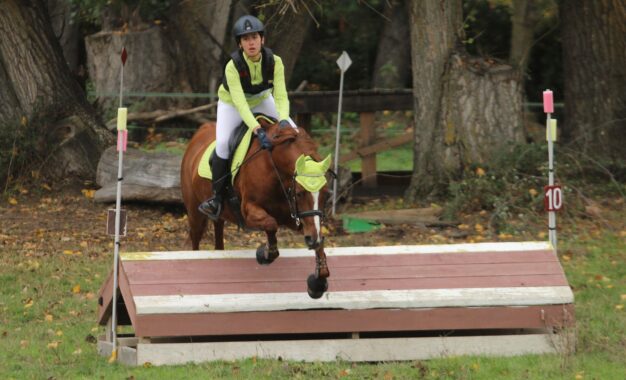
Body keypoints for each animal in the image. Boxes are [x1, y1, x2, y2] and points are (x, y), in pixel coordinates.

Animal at [179, 117, 332, 298]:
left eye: (326, 194)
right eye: (300, 193)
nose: (312, 241)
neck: (275, 169)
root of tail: (199, 133)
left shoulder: (296, 217)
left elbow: (318, 235)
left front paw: (318, 282)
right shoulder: (249, 212)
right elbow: (271, 224)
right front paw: (264, 254)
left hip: (220, 215)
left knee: (218, 232)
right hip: (194, 212)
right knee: (195, 238)